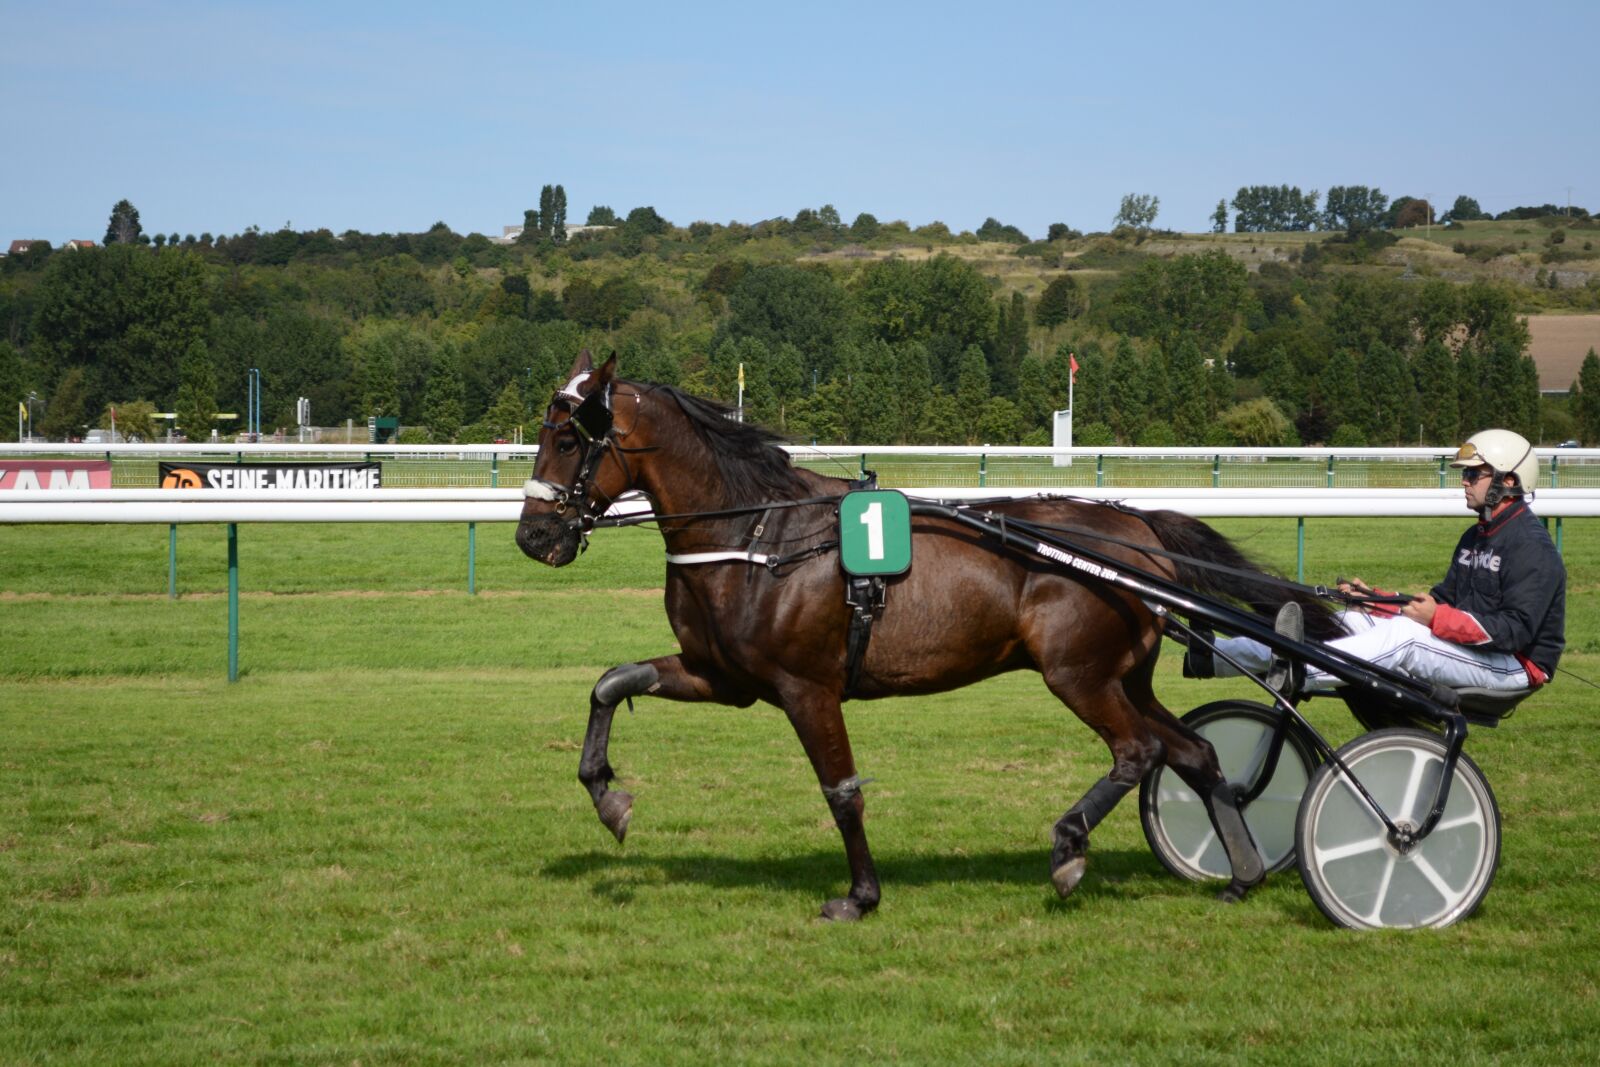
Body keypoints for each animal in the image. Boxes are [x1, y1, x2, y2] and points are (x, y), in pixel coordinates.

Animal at [516, 351, 1340, 920]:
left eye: (569, 438)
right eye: (542, 434)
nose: (533, 536)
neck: (756, 535)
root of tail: (1138, 532)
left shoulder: (806, 687)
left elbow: (841, 790)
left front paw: (860, 895)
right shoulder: (722, 676)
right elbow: (611, 682)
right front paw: (608, 797)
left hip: (1077, 674)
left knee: (1137, 751)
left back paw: (1069, 848)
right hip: (1122, 675)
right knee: (1195, 752)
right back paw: (1240, 874)